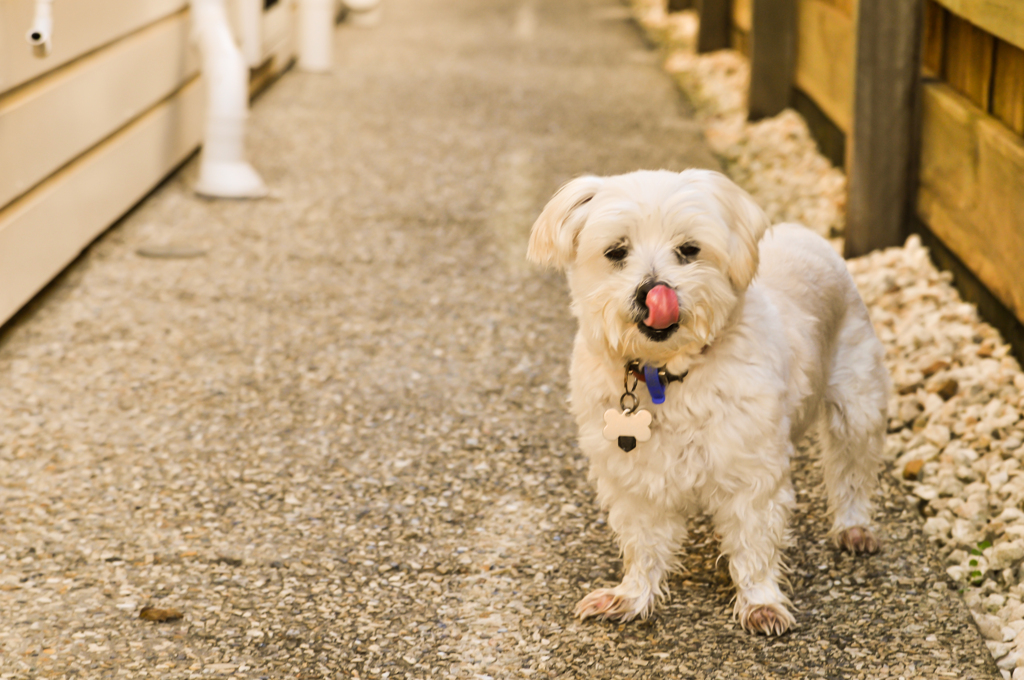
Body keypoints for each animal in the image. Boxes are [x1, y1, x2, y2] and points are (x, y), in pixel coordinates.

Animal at [528, 166, 888, 634]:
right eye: (616, 251)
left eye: (689, 250)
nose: (653, 291)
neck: (667, 374)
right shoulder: (635, 477)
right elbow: (643, 544)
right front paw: (631, 596)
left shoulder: (751, 471)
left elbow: (754, 541)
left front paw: (760, 602)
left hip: (857, 405)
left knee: (852, 471)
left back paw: (853, 527)